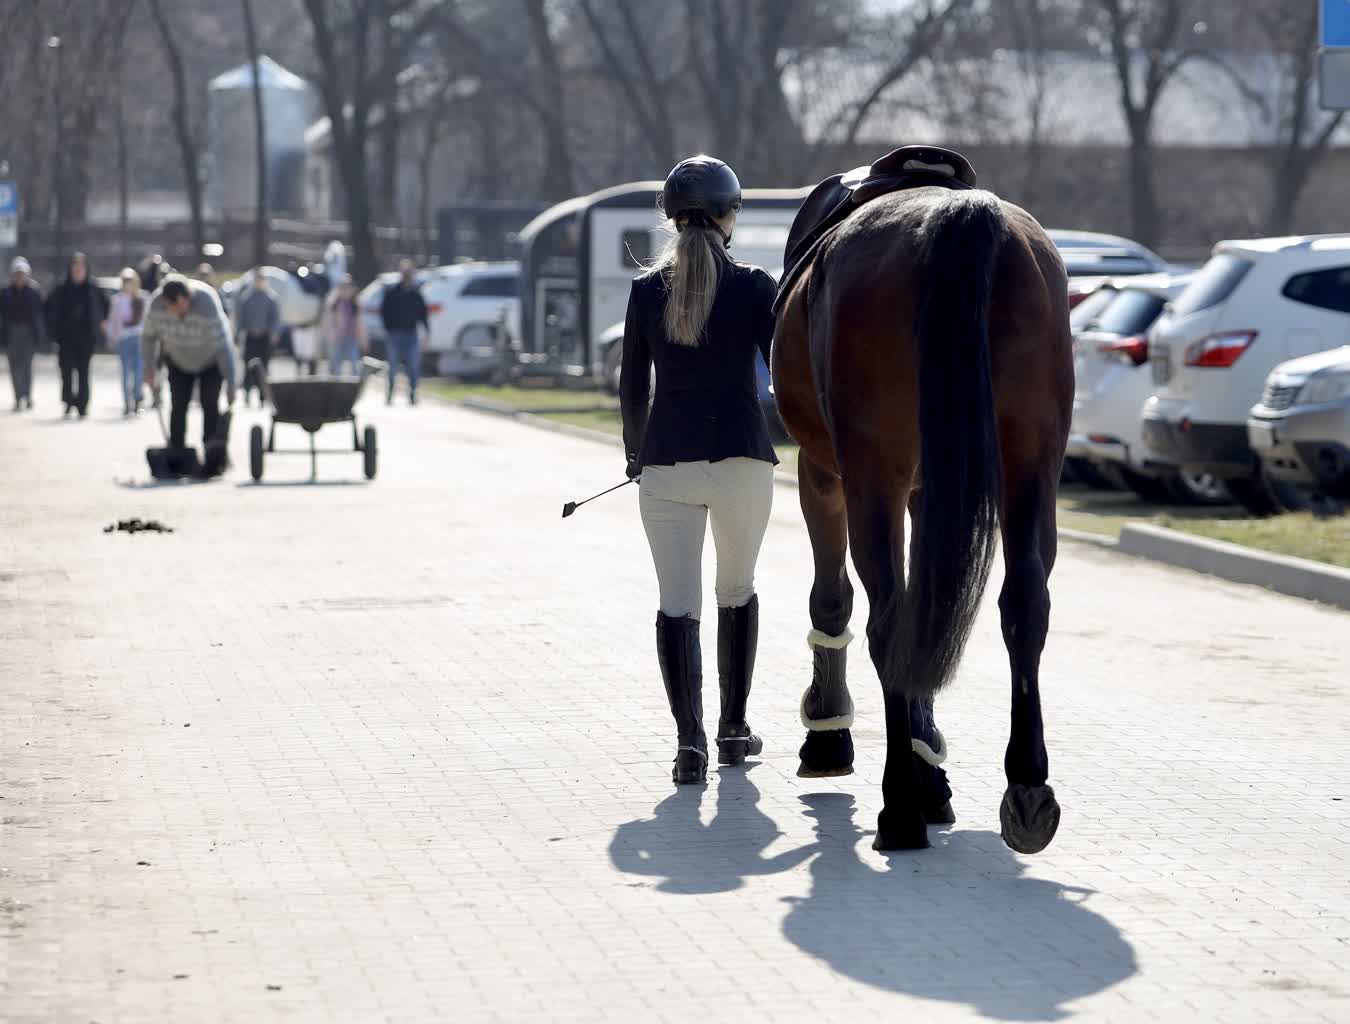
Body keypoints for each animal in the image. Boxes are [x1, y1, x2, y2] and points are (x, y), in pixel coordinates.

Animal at [771, 176, 1072, 854]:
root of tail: (959, 211)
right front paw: (928, 757)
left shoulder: (823, 473)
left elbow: (833, 597)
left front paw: (831, 729)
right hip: (1031, 461)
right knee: (1023, 605)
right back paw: (1027, 787)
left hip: (872, 472)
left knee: (888, 619)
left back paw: (900, 806)